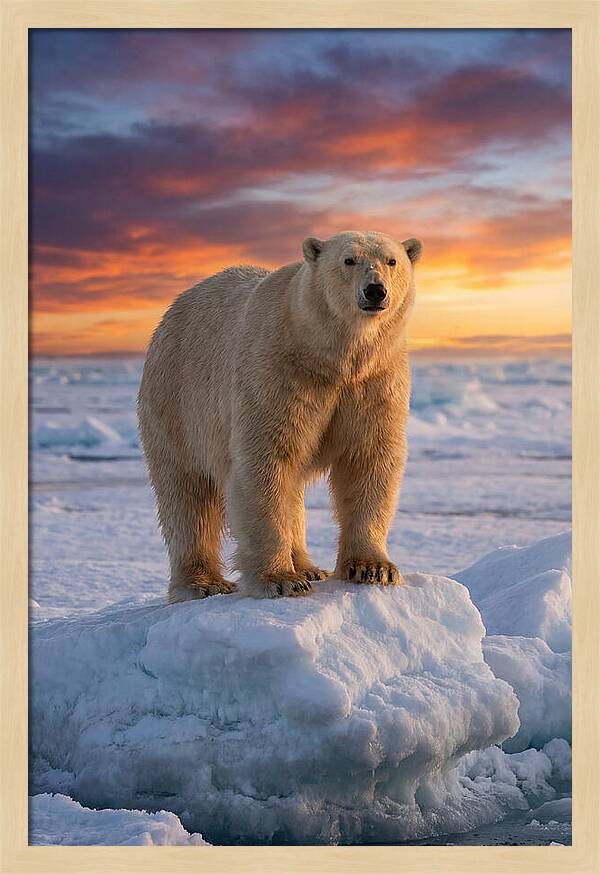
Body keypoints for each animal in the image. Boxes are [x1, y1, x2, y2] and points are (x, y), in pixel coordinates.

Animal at [137, 230, 422, 602]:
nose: (375, 290)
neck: (329, 356)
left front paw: (373, 568)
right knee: (187, 495)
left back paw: (309, 567)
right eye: (349, 260)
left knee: (291, 490)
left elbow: (369, 458)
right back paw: (203, 583)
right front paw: (281, 579)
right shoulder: (277, 371)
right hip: (176, 401)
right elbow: (265, 461)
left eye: (391, 261)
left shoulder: (376, 380)